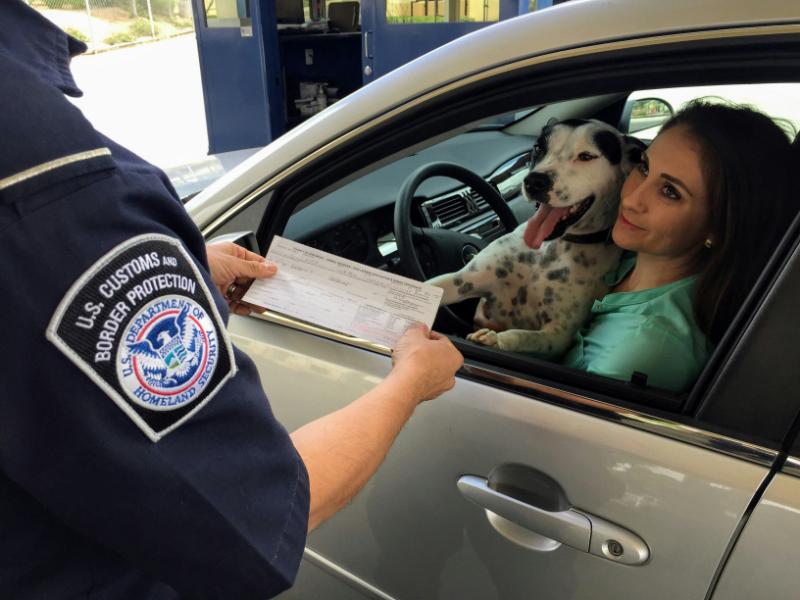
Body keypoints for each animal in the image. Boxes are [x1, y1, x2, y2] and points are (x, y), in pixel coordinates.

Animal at [428, 119, 640, 358]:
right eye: (539, 148)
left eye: (586, 156)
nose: (534, 181)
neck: (550, 249)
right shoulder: (461, 281)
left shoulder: (558, 335)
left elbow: (522, 336)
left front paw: (496, 339)